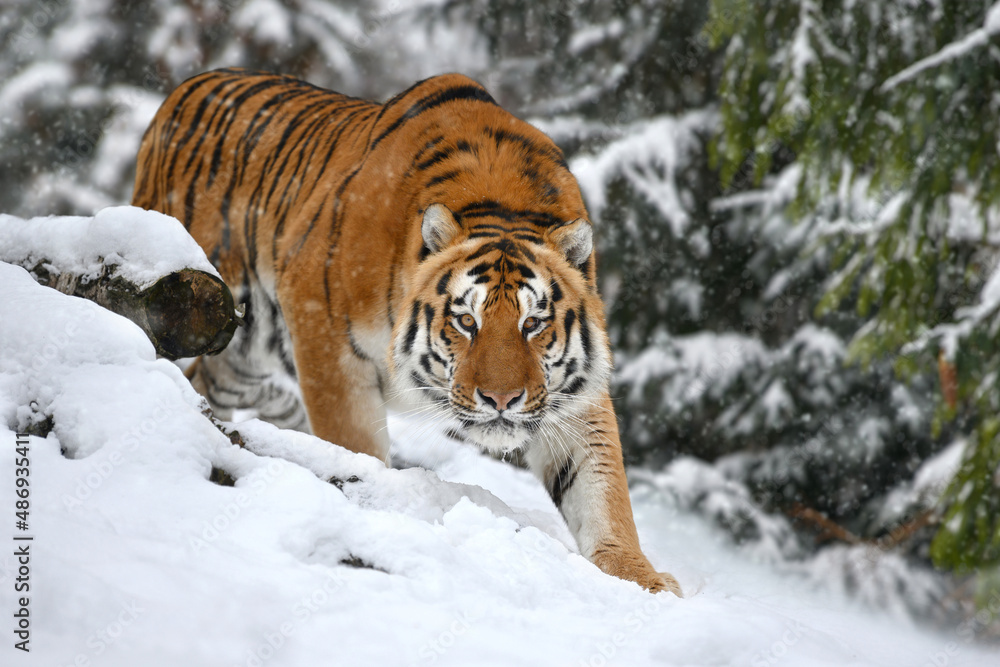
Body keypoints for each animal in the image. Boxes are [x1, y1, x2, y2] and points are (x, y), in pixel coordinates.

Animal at [131, 68, 680, 596]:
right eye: (466, 321)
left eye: (533, 324)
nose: (501, 400)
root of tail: (183, 89)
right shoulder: (328, 342)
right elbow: (356, 443)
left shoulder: (572, 394)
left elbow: (600, 486)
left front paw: (641, 578)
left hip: (237, 345)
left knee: (209, 382)